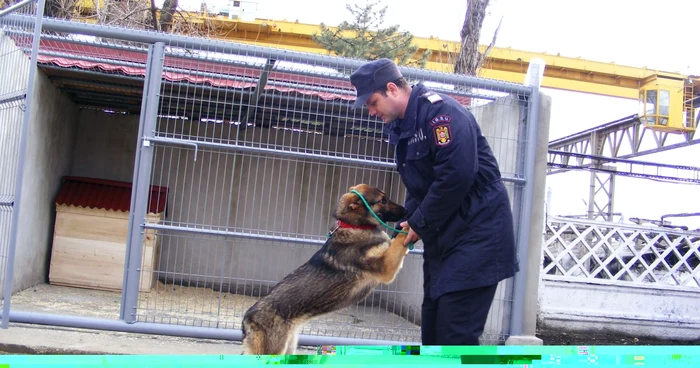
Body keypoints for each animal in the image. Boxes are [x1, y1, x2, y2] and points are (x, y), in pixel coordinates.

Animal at [242, 184, 410, 354]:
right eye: (383, 200)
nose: (407, 210)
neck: (354, 226)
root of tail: (247, 319)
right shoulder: (386, 267)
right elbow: (399, 240)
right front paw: (409, 227)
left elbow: (395, 243)